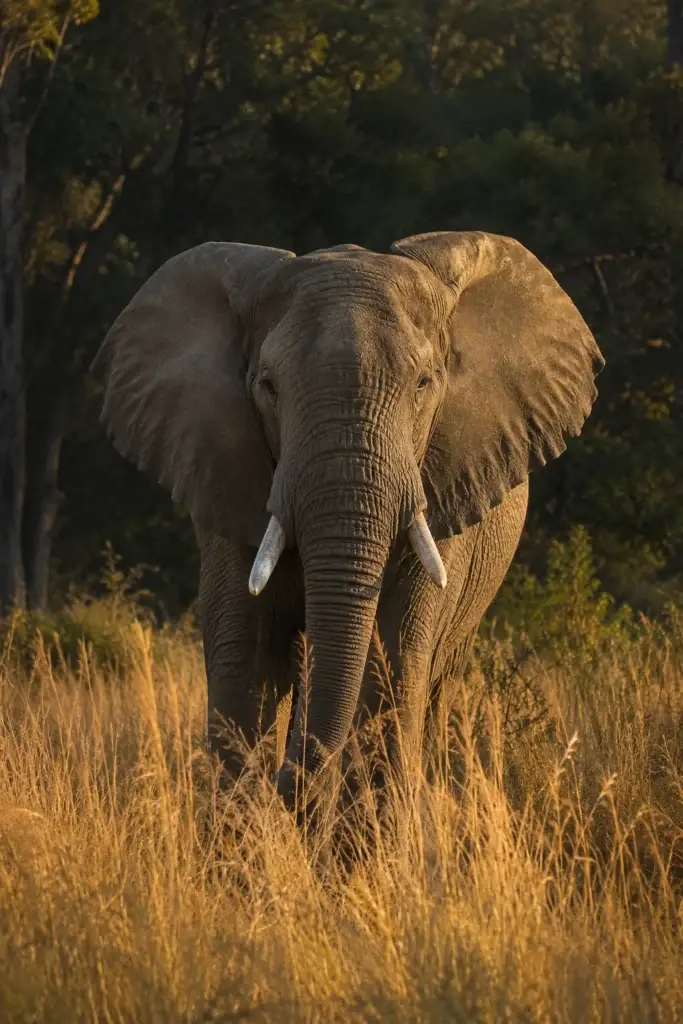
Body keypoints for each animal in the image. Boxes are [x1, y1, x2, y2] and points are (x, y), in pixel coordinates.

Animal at [92, 230, 604, 826]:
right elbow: (245, 663)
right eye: (267, 386)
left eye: (425, 383)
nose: (293, 791)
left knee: (430, 685)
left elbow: (393, 665)